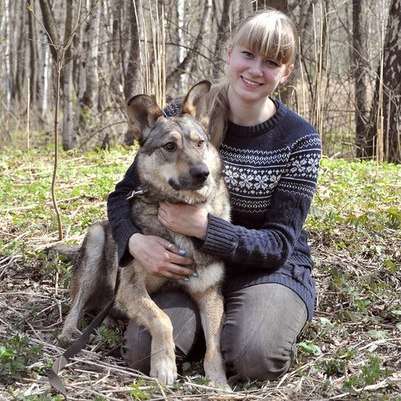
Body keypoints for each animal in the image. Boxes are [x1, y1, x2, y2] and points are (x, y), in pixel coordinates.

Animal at [57, 80, 230, 384]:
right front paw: (164, 365)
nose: (202, 173)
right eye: (170, 146)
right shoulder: (130, 289)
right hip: (95, 242)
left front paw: (219, 383)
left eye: (200, 143)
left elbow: (214, 346)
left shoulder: (209, 293)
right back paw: (69, 333)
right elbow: (162, 319)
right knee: (75, 306)